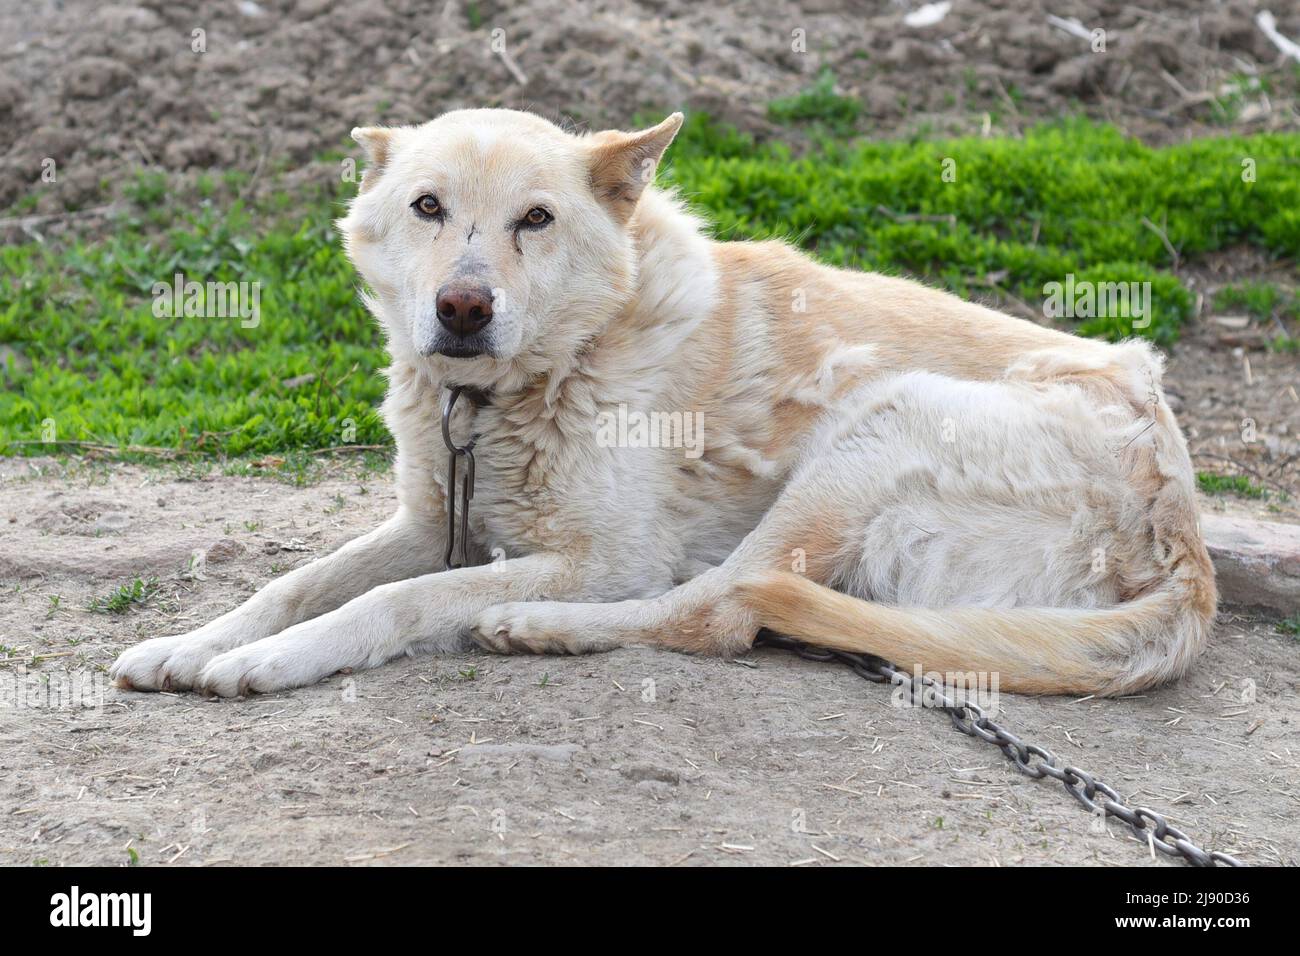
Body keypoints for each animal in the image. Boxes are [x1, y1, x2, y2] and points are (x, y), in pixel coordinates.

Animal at [106, 110, 1211, 697]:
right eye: (427, 207)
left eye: (535, 220)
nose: (464, 308)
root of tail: (1183, 534)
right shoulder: (431, 523)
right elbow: (291, 583)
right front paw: (193, 642)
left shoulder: (605, 556)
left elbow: (390, 600)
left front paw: (272, 661)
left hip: (877, 425)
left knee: (721, 606)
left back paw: (539, 625)